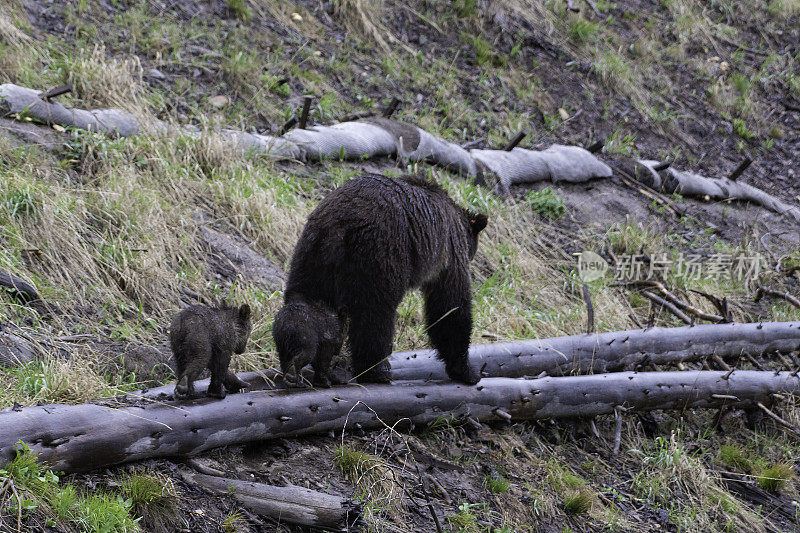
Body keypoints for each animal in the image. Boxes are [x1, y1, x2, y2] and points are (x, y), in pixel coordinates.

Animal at [276, 172, 488, 384]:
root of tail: (338, 226)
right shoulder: (449, 252)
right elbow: (450, 306)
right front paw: (467, 370)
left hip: (311, 255)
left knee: (310, 307)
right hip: (380, 254)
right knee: (375, 315)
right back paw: (376, 371)